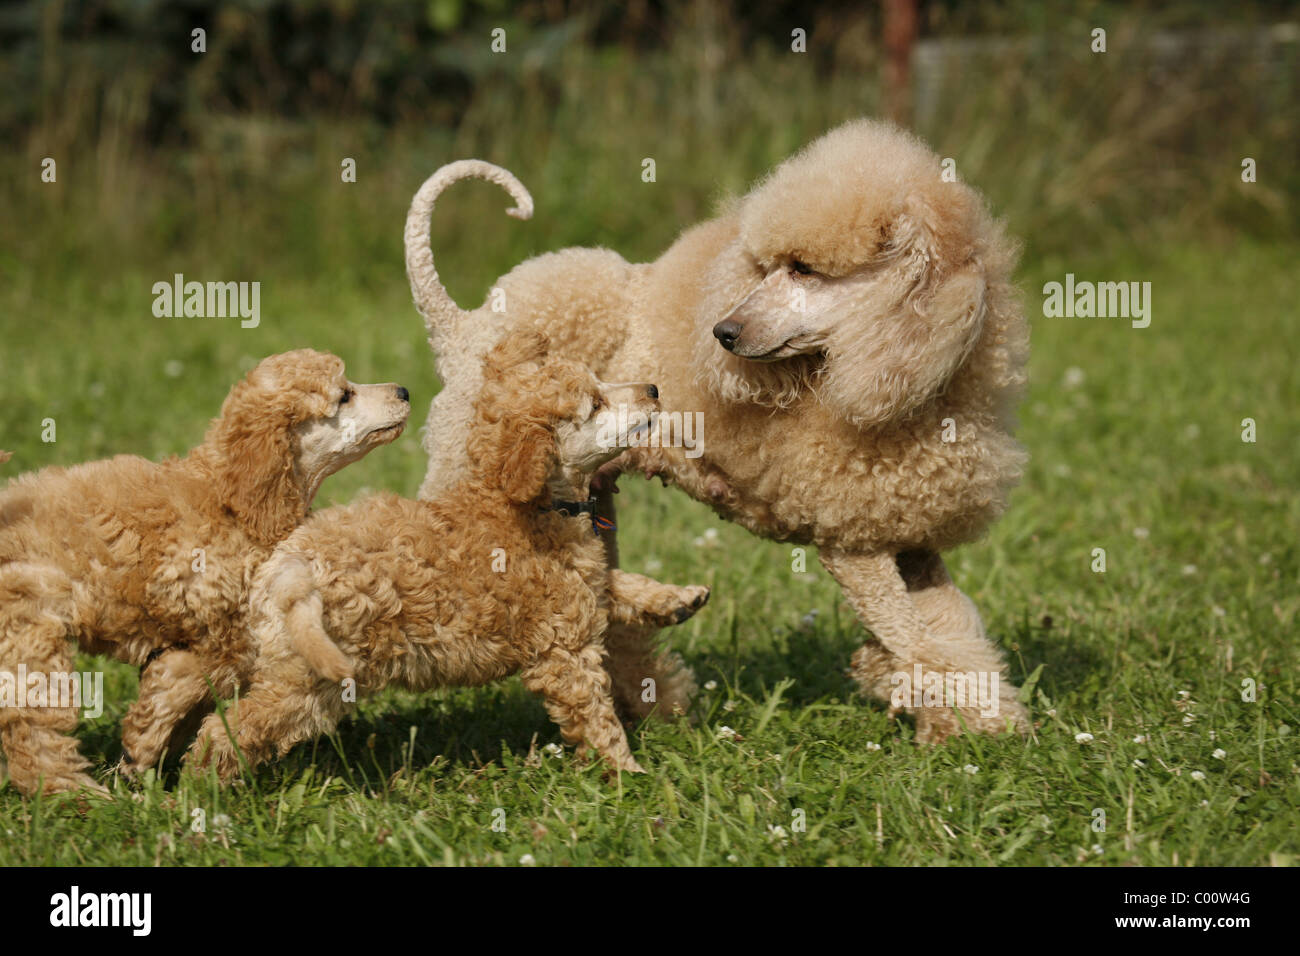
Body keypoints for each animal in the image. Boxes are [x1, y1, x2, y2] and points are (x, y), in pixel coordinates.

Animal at [0, 348, 408, 790]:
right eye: (344, 395)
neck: (229, 498)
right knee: (32, 725)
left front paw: (144, 754)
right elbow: (192, 676)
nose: (404, 390)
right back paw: (74, 792)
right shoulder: (216, 624)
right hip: (30, 624)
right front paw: (142, 745)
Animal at [188, 332, 707, 780]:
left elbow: (617, 583)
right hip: (309, 676)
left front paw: (678, 598)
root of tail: (287, 565)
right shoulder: (564, 650)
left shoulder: (583, 584)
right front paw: (629, 777)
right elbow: (596, 717)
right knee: (232, 726)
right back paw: (203, 783)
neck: (530, 503)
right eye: (596, 404)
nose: (653, 389)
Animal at [400, 119, 1029, 743]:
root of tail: (461, 331)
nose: (724, 332)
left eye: (803, 269)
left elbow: (947, 625)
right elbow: (914, 639)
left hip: (581, 503)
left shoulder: (909, 538)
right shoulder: (853, 548)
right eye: (768, 266)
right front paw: (954, 715)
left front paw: (983, 720)